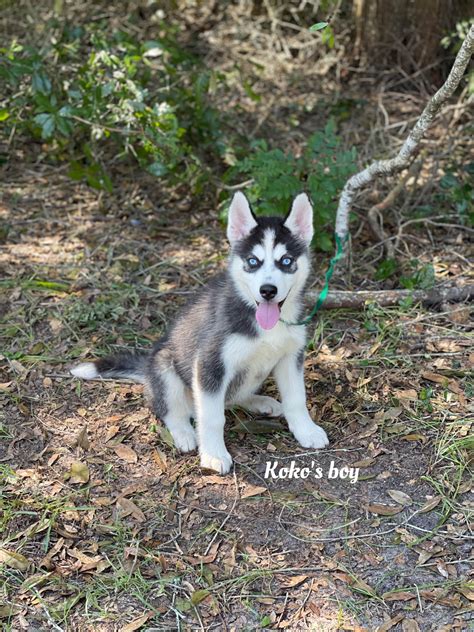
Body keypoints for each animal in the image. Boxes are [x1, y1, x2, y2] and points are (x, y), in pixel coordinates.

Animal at [71, 193, 330, 474]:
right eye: (253, 261)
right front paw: (214, 454)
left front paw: (306, 431)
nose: (268, 291)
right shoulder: (210, 363)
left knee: (232, 398)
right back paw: (184, 433)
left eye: (286, 261)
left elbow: (296, 399)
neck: (260, 319)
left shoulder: (291, 356)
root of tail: (148, 369)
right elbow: (212, 417)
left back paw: (260, 402)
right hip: (165, 367)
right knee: (172, 410)